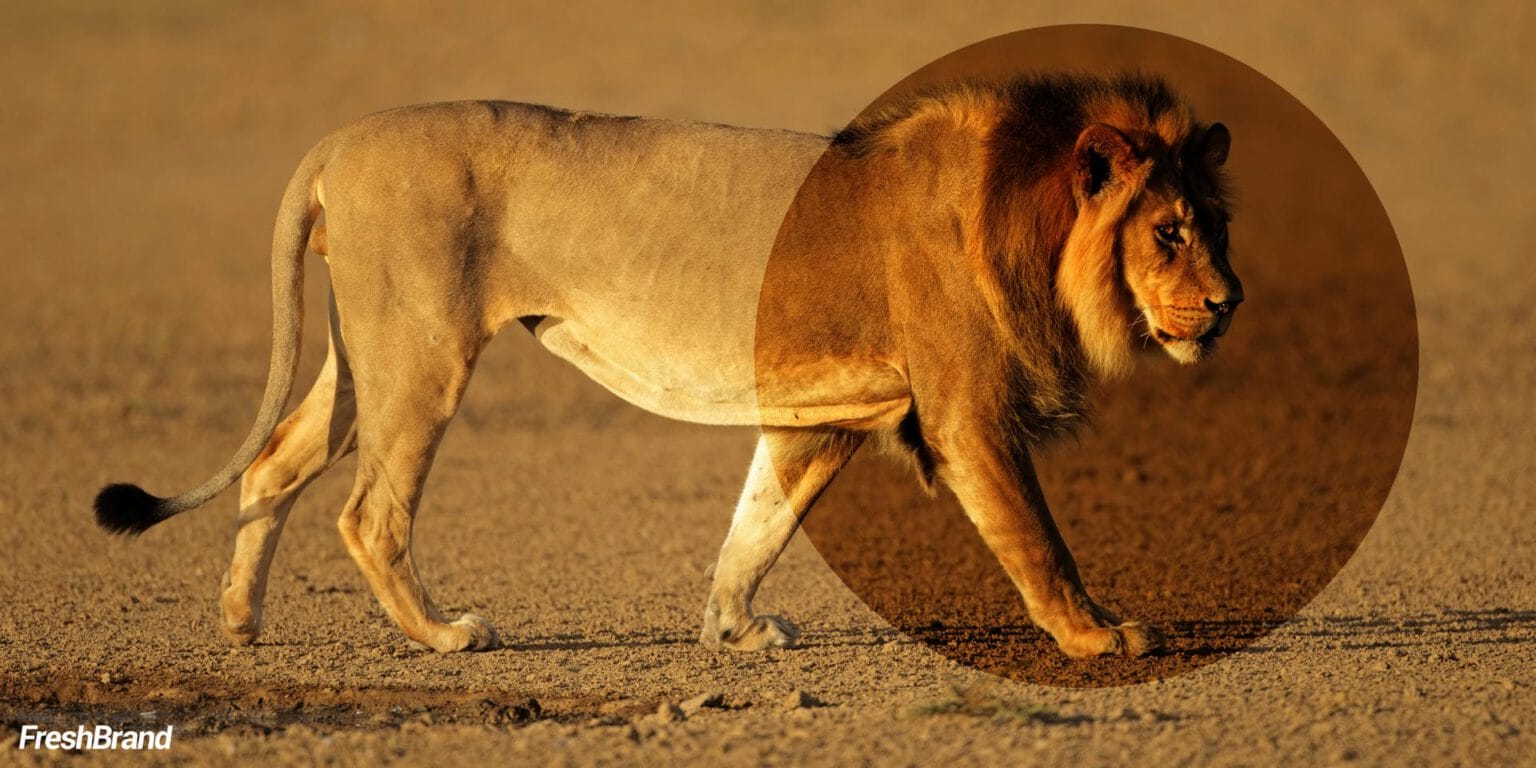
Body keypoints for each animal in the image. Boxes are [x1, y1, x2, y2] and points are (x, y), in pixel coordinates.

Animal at [95, 73, 1240, 660]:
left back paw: (241, 622)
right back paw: (447, 635)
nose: (1229, 302)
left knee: (273, 465)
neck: (1027, 225)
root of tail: (335, 140)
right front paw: (1099, 636)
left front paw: (735, 631)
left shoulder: (823, 414)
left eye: (1219, 227)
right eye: (1170, 233)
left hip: (360, 352)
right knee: (369, 513)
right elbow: (1038, 538)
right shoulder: (967, 411)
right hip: (422, 349)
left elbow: (757, 526)